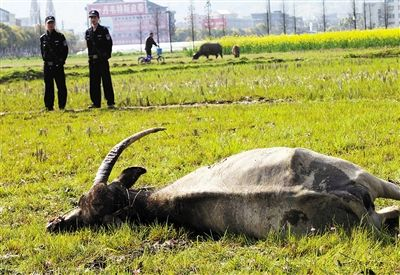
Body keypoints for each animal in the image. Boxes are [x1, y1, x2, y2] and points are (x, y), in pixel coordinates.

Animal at [47, 128, 400, 238]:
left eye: (93, 214)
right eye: (81, 204)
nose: (54, 224)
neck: (161, 200)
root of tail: (348, 193)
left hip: (363, 175)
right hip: (366, 188)